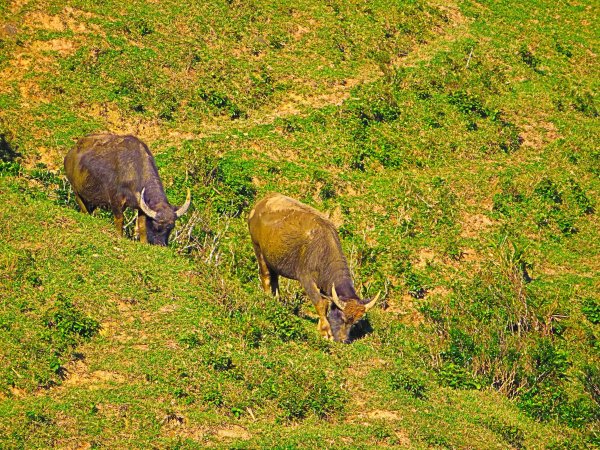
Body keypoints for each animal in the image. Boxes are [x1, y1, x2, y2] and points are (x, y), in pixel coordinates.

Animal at [246, 192, 378, 342]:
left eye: (354, 322)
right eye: (343, 318)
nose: (343, 340)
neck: (323, 250)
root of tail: (258, 205)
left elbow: (325, 303)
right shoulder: (306, 279)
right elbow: (320, 302)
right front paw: (326, 331)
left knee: (275, 279)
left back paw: (277, 300)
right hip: (258, 249)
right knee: (266, 276)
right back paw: (268, 298)